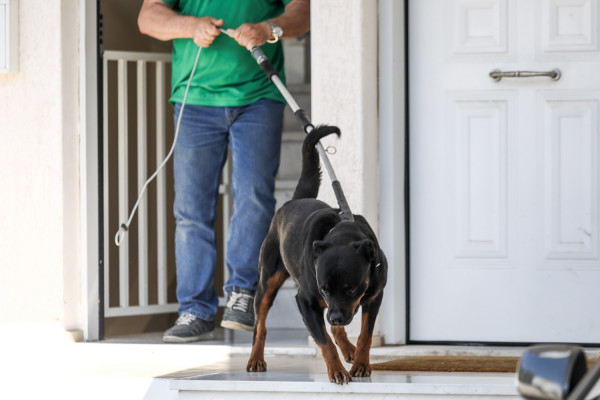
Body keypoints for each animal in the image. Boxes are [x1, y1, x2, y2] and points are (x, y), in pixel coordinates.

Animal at [245, 124, 390, 384]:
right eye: (323, 289)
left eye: (352, 290)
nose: (336, 316)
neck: (342, 234)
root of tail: (295, 200)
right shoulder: (306, 301)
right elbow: (324, 342)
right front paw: (337, 370)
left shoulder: (374, 296)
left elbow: (365, 334)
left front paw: (361, 364)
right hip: (267, 281)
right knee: (260, 325)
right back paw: (256, 359)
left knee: (335, 327)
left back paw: (348, 348)